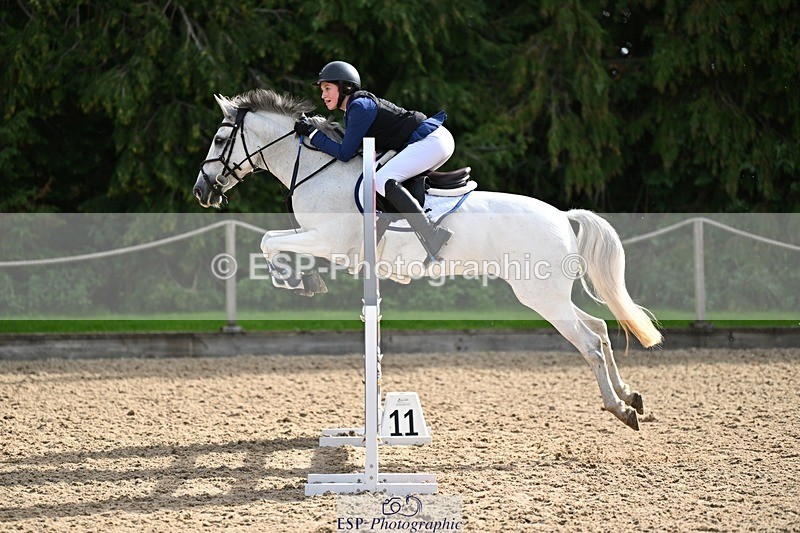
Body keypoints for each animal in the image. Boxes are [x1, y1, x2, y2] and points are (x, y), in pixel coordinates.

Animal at [193, 89, 662, 430]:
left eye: (219, 139)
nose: (201, 191)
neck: (316, 168)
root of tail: (564, 216)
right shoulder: (324, 243)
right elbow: (274, 242)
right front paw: (304, 281)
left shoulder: (328, 240)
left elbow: (269, 241)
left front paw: (295, 281)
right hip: (550, 296)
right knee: (600, 329)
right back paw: (631, 396)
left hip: (540, 296)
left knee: (590, 344)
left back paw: (621, 410)